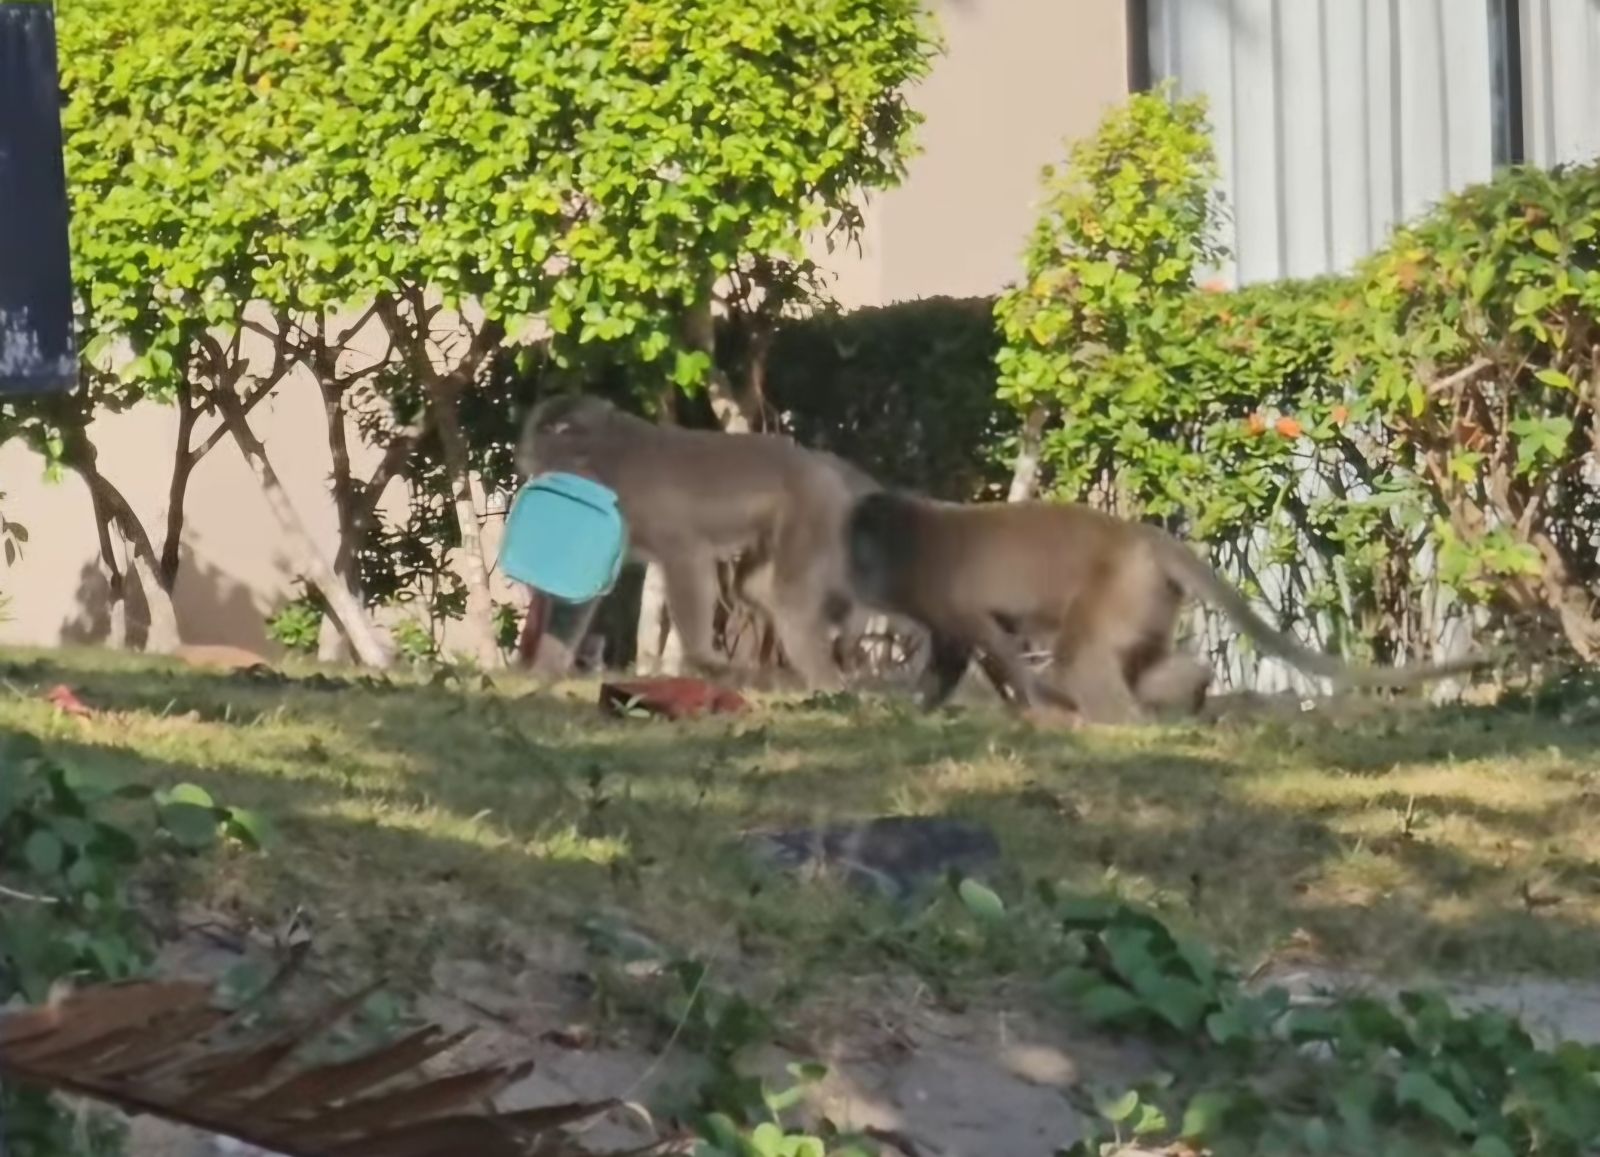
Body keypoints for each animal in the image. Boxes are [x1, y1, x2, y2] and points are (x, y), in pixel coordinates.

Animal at [843, 490, 1489, 723]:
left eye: (862, 550)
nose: (850, 572)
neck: (910, 538)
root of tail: (1146, 541)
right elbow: (955, 649)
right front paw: (920, 708)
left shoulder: (937, 587)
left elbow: (992, 639)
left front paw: (1031, 706)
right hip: (1147, 597)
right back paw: (1190, 696)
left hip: (1122, 586)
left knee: (1080, 658)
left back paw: (1117, 722)